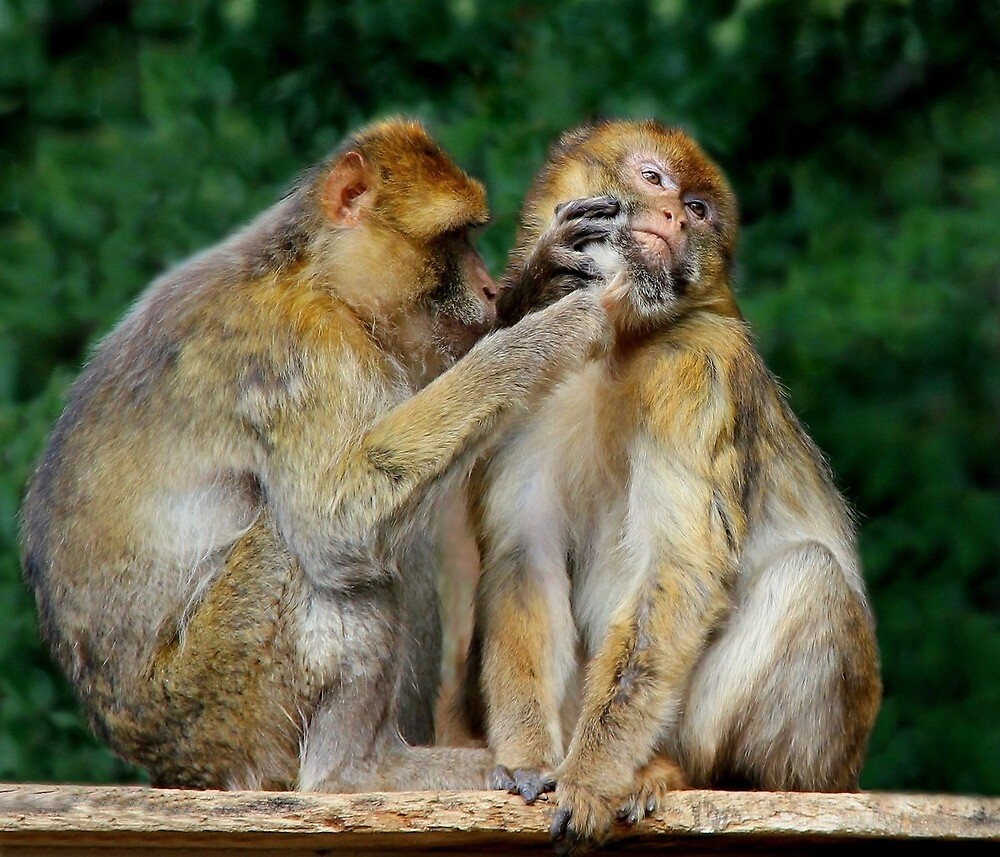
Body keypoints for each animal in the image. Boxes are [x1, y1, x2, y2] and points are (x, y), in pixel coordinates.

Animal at [18, 117, 612, 793]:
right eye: (454, 238)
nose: (489, 289)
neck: (313, 274)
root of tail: (167, 760)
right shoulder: (303, 360)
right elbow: (335, 522)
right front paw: (540, 338)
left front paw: (543, 274)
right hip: (228, 697)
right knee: (311, 551)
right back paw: (356, 771)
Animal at [451, 120, 882, 852]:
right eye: (654, 179)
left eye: (700, 210)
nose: (677, 216)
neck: (621, 338)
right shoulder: (529, 363)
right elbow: (523, 556)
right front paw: (528, 757)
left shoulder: (698, 367)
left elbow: (679, 568)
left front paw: (590, 779)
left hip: (798, 754)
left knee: (810, 575)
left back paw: (670, 771)